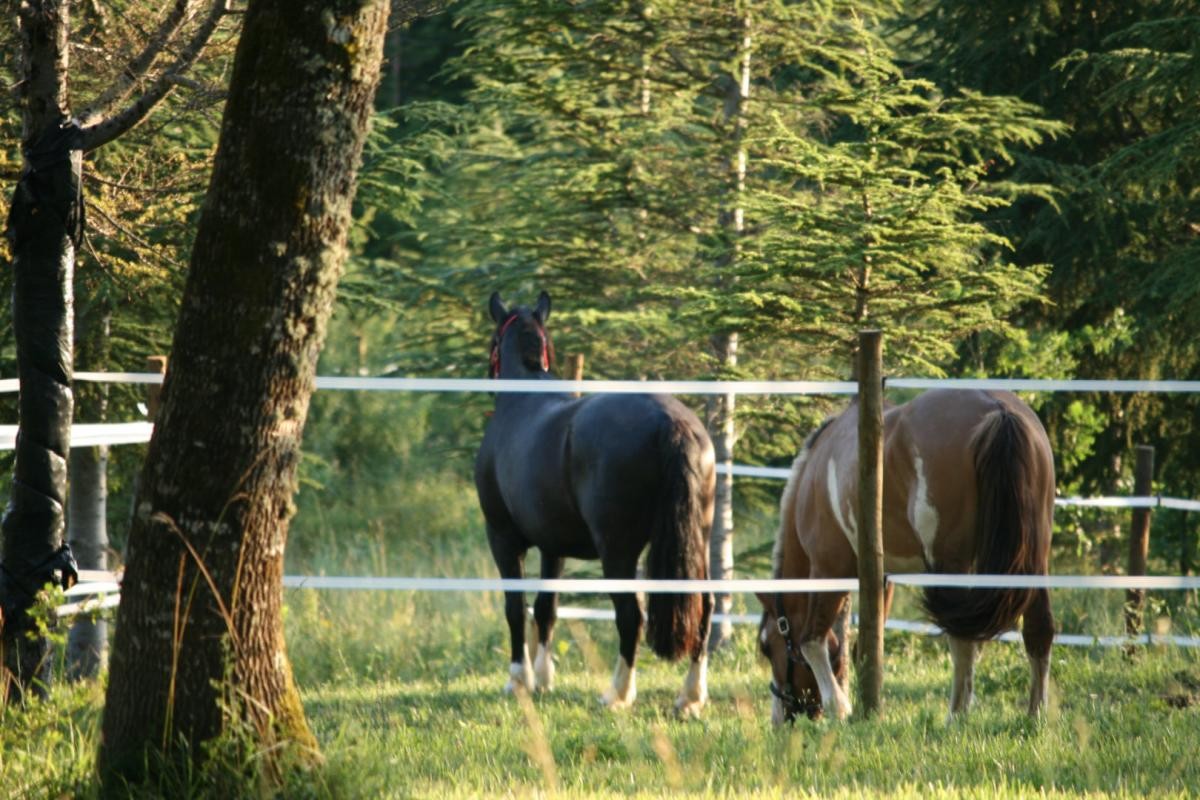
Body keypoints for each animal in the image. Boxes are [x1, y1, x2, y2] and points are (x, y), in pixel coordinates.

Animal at [472, 291, 715, 714]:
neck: (523, 397)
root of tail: (673, 423)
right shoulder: (553, 547)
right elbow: (547, 608)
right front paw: (544, 679)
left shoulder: (502, 537)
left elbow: (516, 607)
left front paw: (519, 680)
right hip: (695, 541)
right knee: (705, 606)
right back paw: (690, 697)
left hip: (617, 552)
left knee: (631, 616)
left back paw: (617, 694)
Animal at [753, 388, 1056, 724]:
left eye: (767, 647)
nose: (779, 719)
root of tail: (998, 411)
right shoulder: (882, 578)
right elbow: (863, 650)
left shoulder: (826, 568)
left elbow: (812, 642)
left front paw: (840, 709)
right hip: (1034, 561)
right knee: (1038, 629)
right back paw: (1035, 714)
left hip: (952, 565)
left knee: (962, 638)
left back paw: (956, 717)